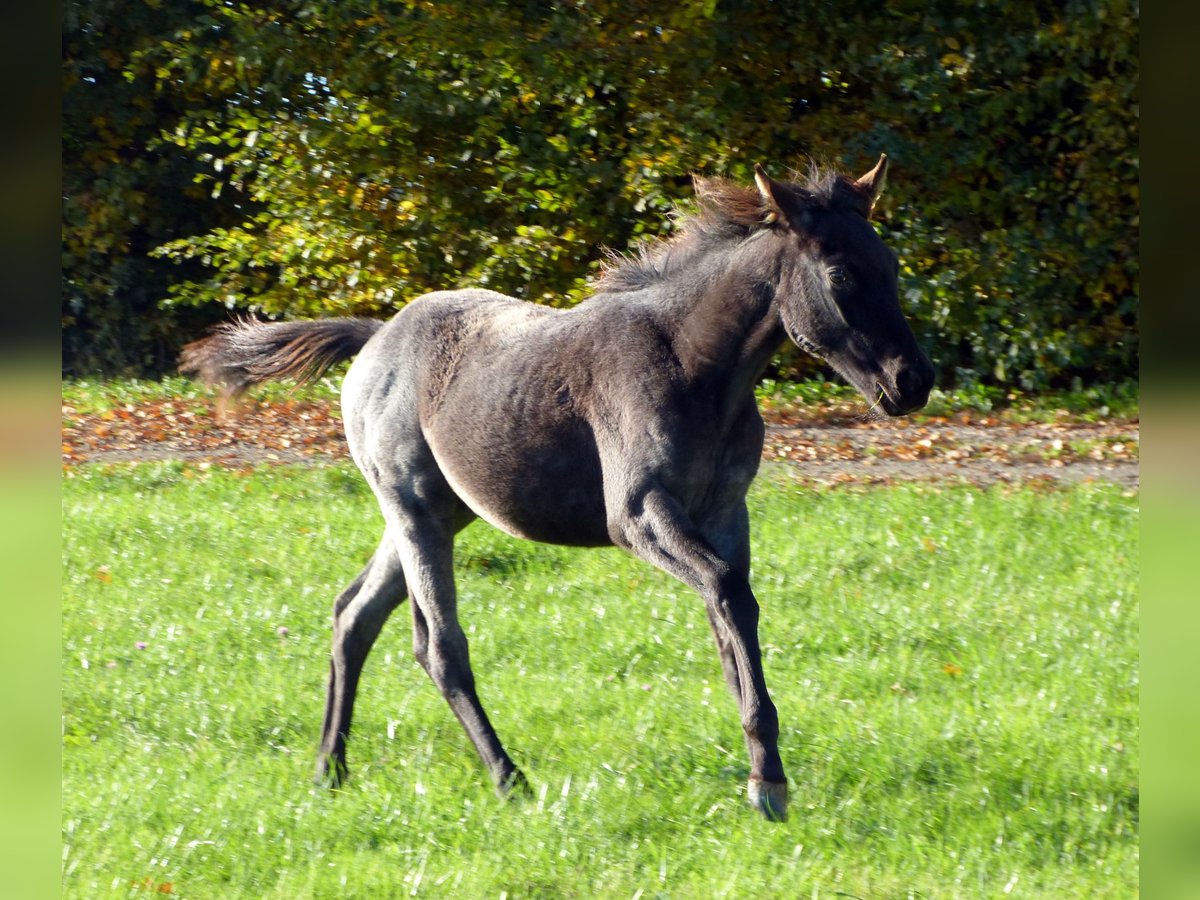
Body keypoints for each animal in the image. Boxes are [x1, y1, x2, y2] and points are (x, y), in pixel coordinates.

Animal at [177, 158, 931, 820]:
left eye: (891, 266)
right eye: (840, 273)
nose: (913, 380)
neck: (693, 364)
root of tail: (374, 336)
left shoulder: (723, 511)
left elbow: (731, 614)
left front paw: (763, 773)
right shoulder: (638, 515)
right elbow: (725, 592)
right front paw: (767, 781)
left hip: (441, 514)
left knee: (353, 615)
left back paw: (329, 770)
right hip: (412, 507)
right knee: (439, 648)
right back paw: (509, 780)